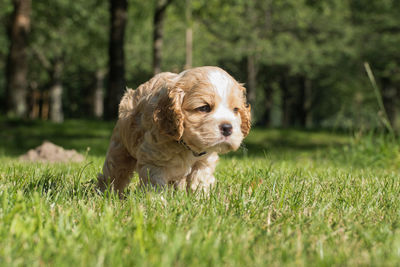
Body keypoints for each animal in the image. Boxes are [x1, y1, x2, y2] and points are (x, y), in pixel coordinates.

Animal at [97, 66, 250, 197]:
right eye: (204, 108)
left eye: (235, 110)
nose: (227, 128)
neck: (186, 146)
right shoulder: (154, 161)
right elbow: (156, 186)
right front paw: (158, 202)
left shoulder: (204, 162)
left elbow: (199, 181)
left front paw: (201, 200)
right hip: (120, 149)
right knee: (114, 173)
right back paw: (106, 194)